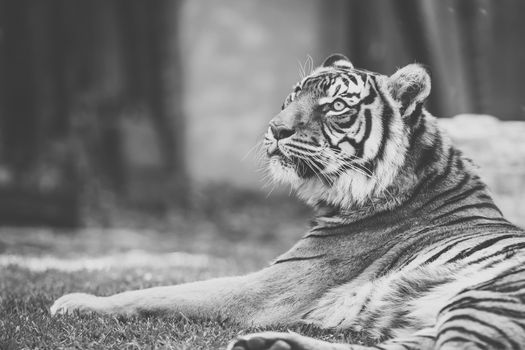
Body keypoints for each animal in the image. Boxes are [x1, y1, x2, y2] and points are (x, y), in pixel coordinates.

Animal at [51, 53, 524, 348]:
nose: (275, 129)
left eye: (336, 107)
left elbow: (164, 290)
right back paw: (269, 344)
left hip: (480, 298)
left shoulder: (267, 288)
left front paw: (76, 302)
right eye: (294, 95)